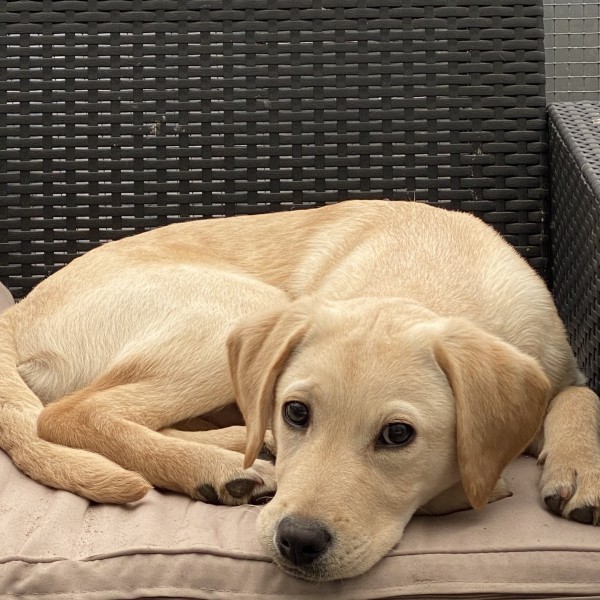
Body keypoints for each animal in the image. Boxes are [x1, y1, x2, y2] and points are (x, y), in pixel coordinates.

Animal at [1, 200, 599, 581]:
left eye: (398, 435)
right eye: (296, 412)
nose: (298, 543)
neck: (432, 270)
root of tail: (16, 314)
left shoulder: (559, 370)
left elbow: (580, 397)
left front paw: (580, 470)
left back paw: (237, 453)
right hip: (234, 306)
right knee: (69, 414)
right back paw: (220, 467)